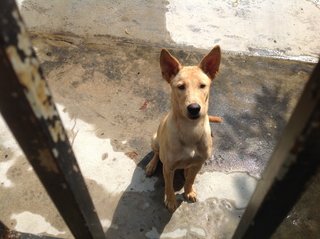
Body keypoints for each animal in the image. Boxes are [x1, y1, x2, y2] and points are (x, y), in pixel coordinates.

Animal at [146, 45, 221, 212]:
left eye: (202, 85)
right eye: (180, 87)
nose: (194, 108)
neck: (190, 130)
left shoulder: (199, 163)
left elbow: (191, 179)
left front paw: (189, 191)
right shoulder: (168, 168)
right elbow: (168, 186)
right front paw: (171, 200)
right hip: (154, 139)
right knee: (156, 153)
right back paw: (151, 165)